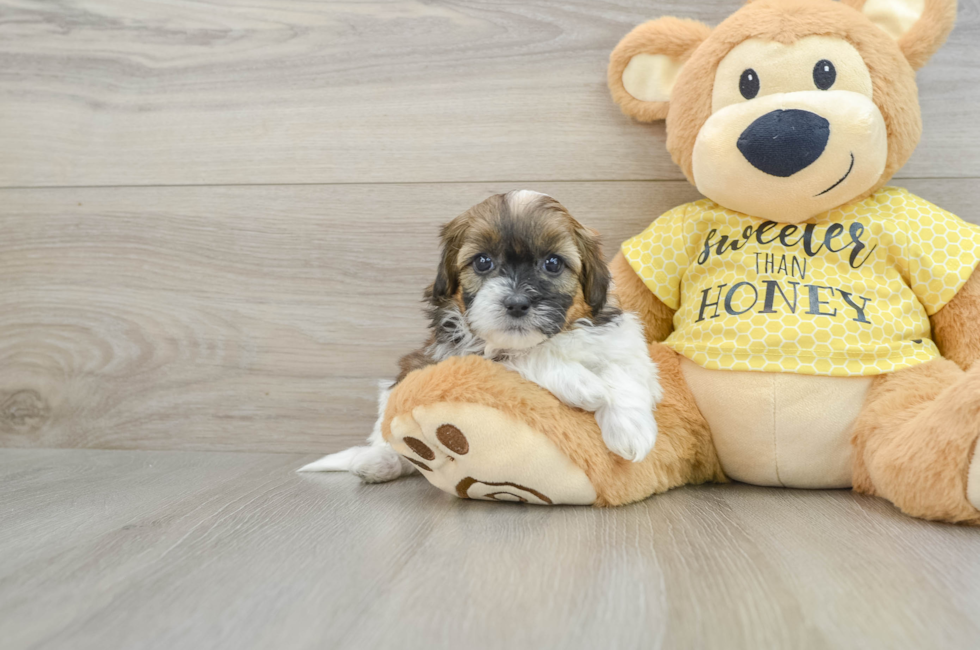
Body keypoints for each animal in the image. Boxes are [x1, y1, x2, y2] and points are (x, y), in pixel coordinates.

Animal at [302, 189, 664, 480]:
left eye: (552, 263)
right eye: (483, 262)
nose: (516, 303)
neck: (556, 338)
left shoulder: (621, 342)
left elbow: (624, 373)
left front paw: (631, 432)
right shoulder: (459, 354)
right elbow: (521, 356)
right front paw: (583, 385)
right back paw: (379, 460)